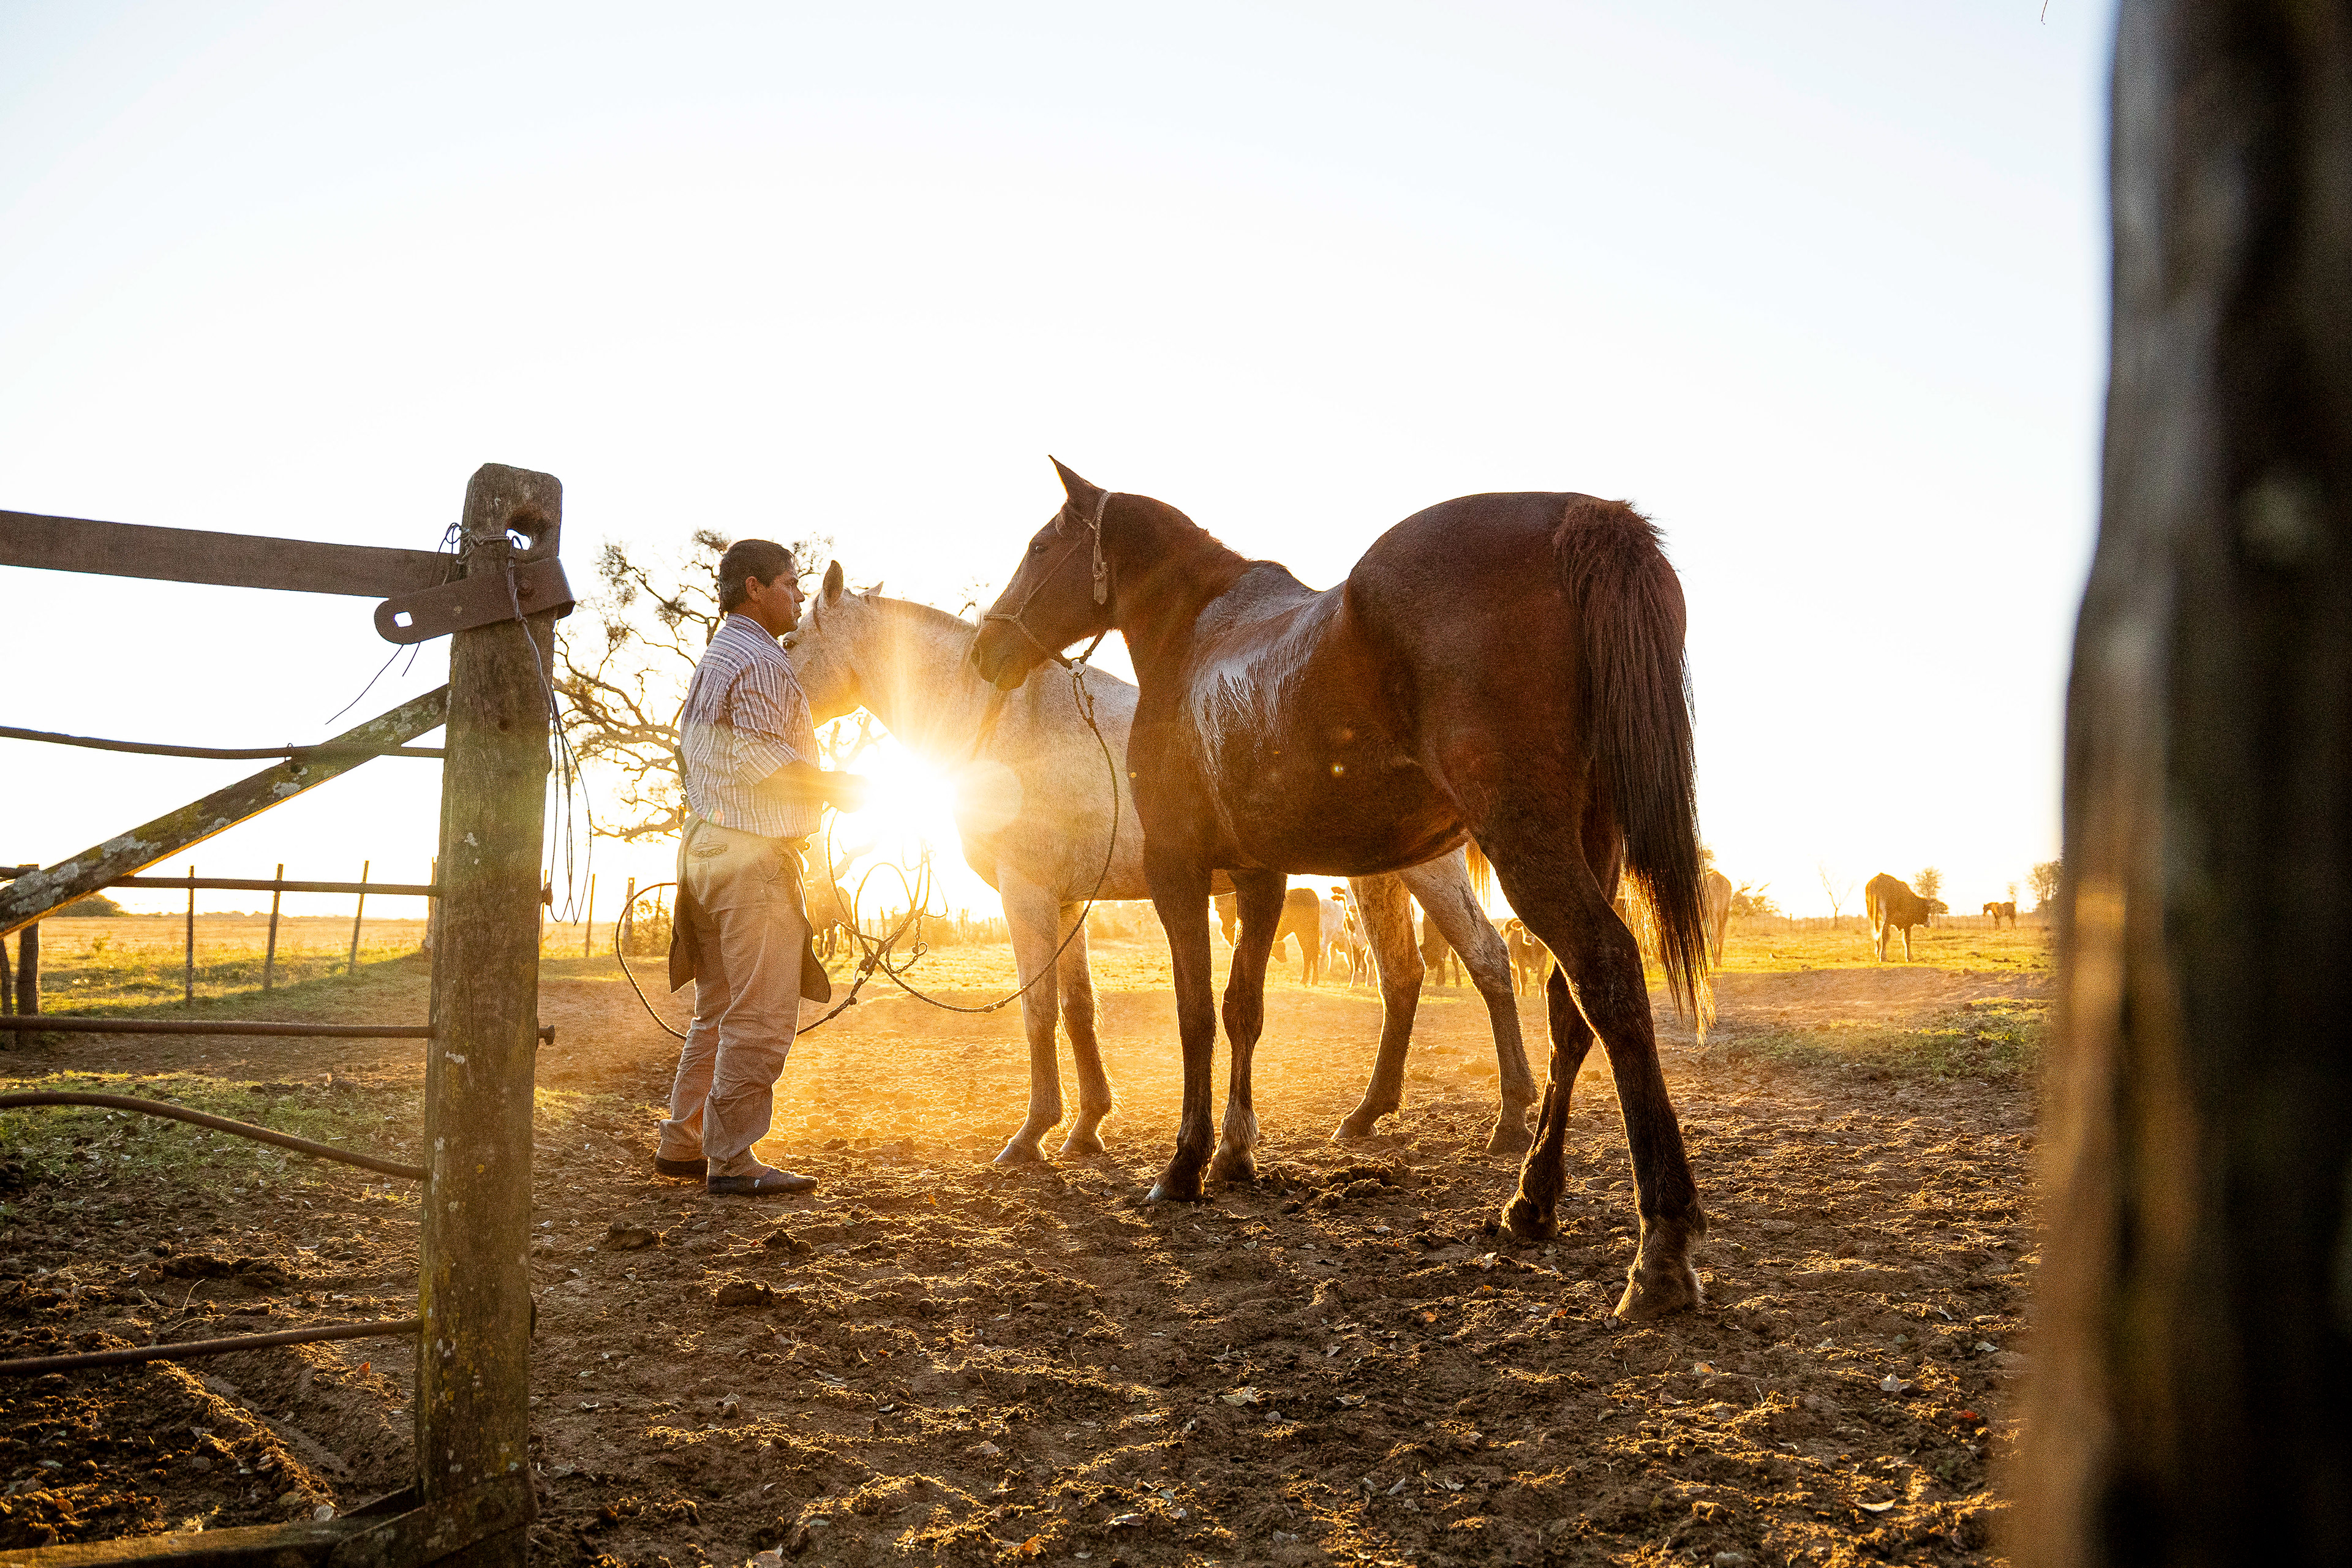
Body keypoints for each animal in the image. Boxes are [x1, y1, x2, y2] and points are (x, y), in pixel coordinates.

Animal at [786, 565, 1537, 1161]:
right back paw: (1366, 1114)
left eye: (791, 641)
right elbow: (1080, 1008)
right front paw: (1087, 1126)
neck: (1005, 722)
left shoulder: (1027, 894)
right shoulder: (1066, 900)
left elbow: (1038, 1010)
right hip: (1377, 875)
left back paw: (1512, 1117)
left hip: (1428, 872)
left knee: (1486, 959)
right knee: (1402, 979)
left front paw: (1032, 1134)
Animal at [972, 461, 1711, 1320]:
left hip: (1528, 847)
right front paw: (1235, 1156)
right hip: (1591, 846)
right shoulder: (1257, 877)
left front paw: (1184, 1166)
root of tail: (1586, 520)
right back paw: (1531, 1201)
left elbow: (1195, 1014)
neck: (1198, 632)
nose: (986, 648)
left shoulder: (1177, 871)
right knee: (1571, 1007)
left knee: (1608, 979)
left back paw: (1660, 1249)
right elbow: (1244, 1010)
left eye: (1040, 545)